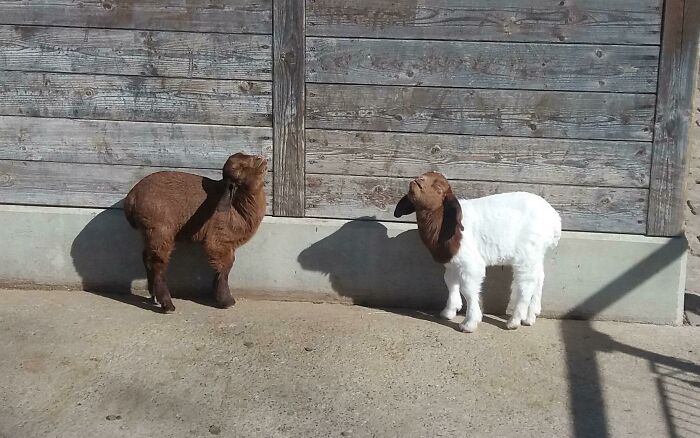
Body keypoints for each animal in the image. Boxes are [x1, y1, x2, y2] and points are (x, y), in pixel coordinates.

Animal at [124, 153, 267, 312]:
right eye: (241, 168)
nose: (261, 158)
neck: (237, 208)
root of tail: (131, 199)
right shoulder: (219, 240)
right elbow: (225, 267)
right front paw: (226, 301)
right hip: (160, 230)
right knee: (157, 264)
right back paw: (167, 304)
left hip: (148, 232)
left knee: (146, 258)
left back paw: (153, 295)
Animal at [394, 172, 561, 332]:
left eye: (439, 189)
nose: (418, 180)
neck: (443, 221)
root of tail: (554, 219)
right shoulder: (453, 263)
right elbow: (450, 282)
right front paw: (449, 311)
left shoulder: (470, 264)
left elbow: (468, 289)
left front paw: (469, 323)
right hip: (536, 254)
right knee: (539, 277)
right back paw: (530, 317)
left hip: (526, 253)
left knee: (526, 285)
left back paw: (514, 321)